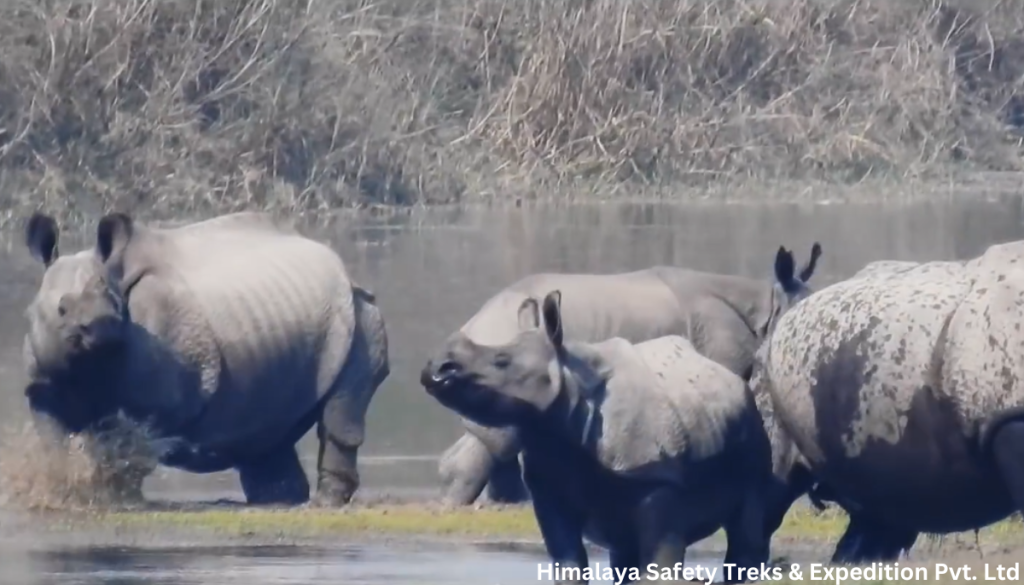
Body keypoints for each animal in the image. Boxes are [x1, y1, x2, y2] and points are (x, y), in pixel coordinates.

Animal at [24, 212, 391, 508]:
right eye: (61, 310)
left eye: (115, 304)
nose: (103, 326)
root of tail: (346, 272)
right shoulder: (42, 386)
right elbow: (53, 443)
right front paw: (63, 494)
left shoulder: (159, 398)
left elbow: (132, 442)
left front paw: (116, 498)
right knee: (265, 434)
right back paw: (280, 499)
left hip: (357, 313)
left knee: (340, 412)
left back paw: (324, 503)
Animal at [419, 290, 770, 581]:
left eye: (501, 361)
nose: (434, 371)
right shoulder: (549, 486)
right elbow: (569, 563)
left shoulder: (658, 480)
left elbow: (660, 564)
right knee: (623, 550)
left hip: (754, 426)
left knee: (749, 524)